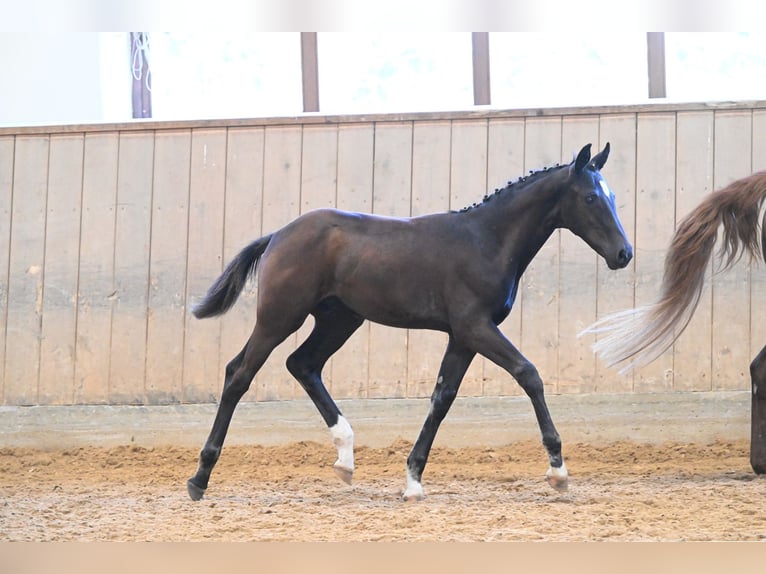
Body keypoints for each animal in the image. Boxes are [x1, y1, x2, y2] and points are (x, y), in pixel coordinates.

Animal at [188, 144, 636, 504]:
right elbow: (529, 374)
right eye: (591, 197)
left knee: (302, 364)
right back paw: (200, 478)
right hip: (280, 317)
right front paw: (558, 472)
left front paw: (413, 481)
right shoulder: (476, 327)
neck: (487, 240)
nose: (623, 253)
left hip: (339, 319)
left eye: (614, 195)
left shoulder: (462, 336)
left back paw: (345, 458)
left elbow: (442, 398)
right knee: (239, 374)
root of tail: (278, 235)